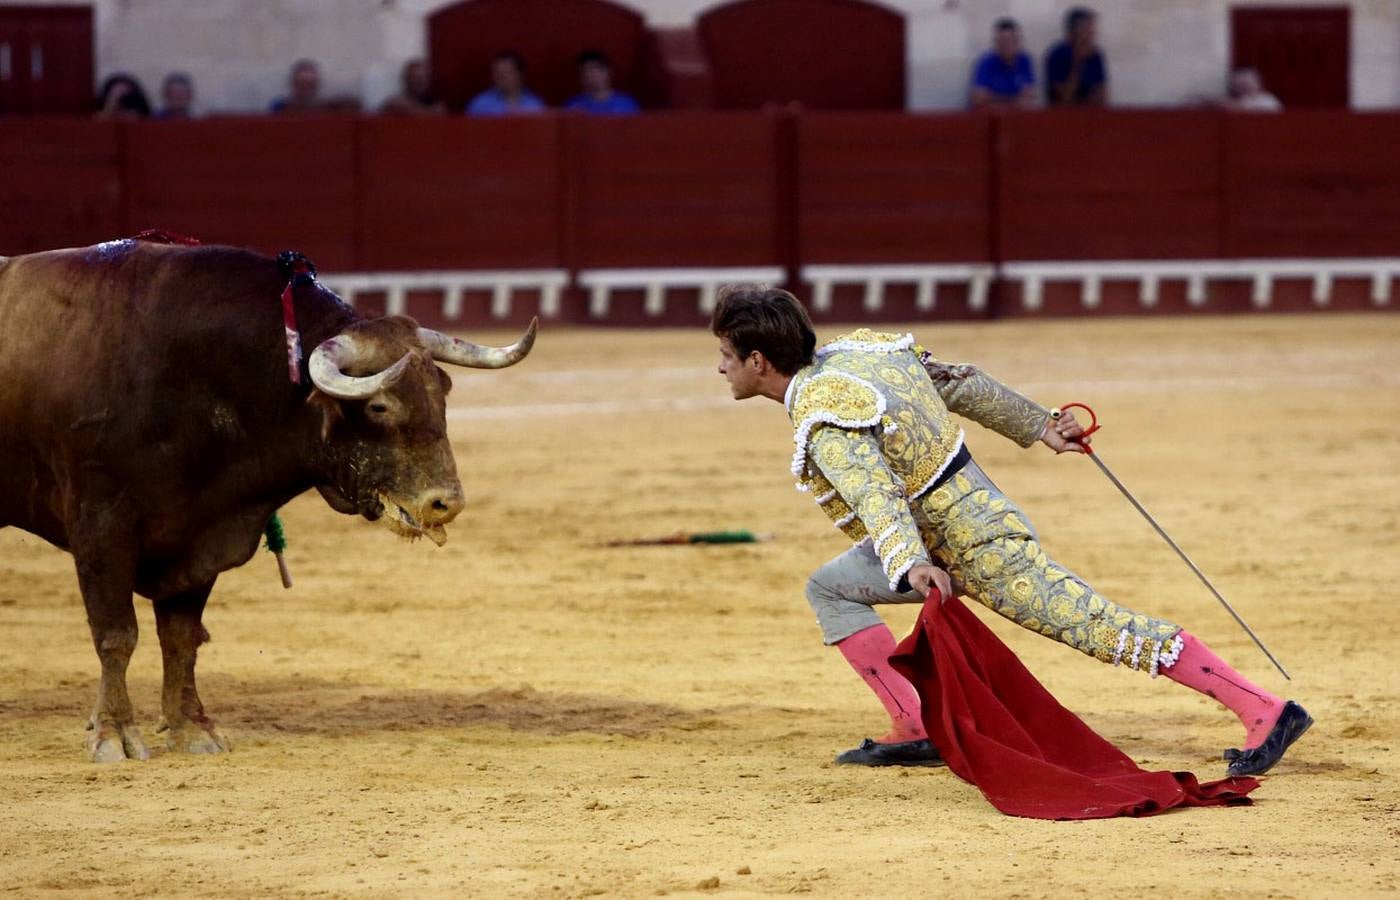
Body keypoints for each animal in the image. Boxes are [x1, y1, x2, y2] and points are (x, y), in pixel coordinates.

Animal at [0, 239, 534, 761]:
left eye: (442, 393)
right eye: (380, 406)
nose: (447, 502)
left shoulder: (199, 528)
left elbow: (181, 637)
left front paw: (193, 729)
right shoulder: (101, 527)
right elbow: (116, 635)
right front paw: (112, 733)